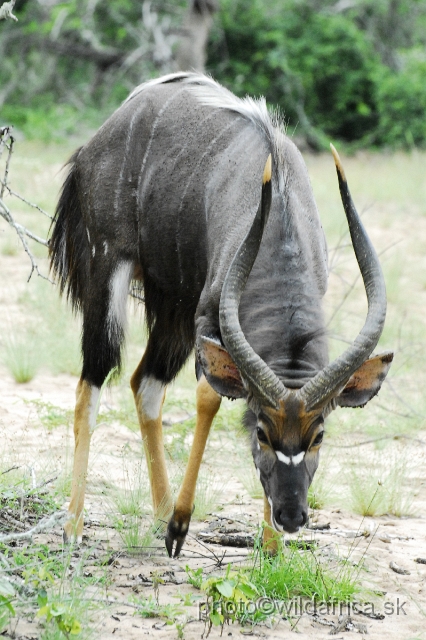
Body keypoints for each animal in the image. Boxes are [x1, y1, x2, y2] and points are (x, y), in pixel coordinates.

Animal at [50, 72, 392, 556]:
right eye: (262, 433)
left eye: (319, 434)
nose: (291, 516)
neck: (277, 203)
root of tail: (93, 146)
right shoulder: (207, 315)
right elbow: (208, 398)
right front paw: (180, 525)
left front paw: (270, 548)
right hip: (109, 279)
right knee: (91, 385)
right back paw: (76, 525)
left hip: (171, 310)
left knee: (144, 383)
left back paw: (159, 512)